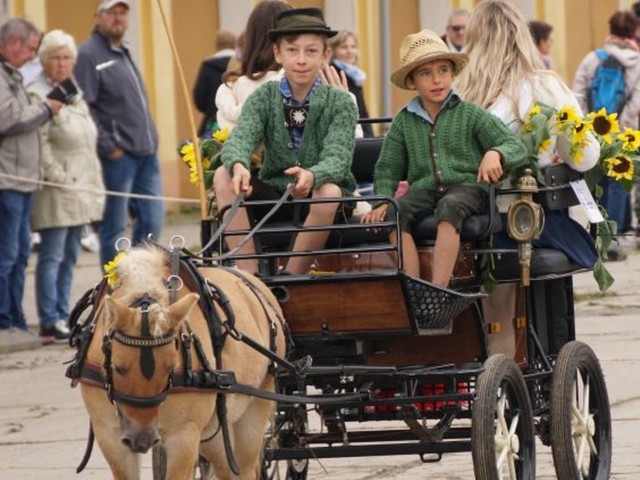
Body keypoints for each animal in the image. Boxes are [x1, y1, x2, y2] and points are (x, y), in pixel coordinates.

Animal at [71, 246, 286, 478]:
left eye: (170, 369)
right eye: (117, 368)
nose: (142, 439)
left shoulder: (184, 436)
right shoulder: (110, 436)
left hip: (253, 410)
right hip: (216, 432)